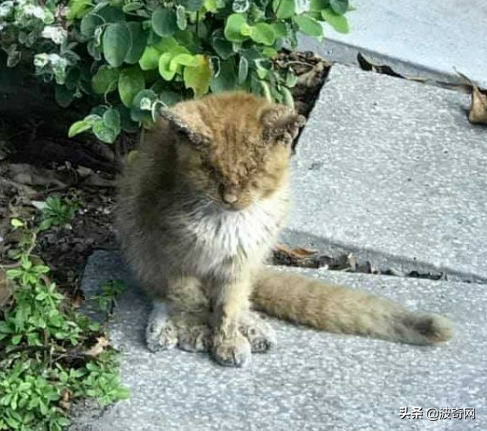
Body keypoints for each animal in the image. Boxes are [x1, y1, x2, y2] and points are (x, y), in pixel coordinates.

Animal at [115, 91, 454, 368]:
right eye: (210, 171)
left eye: (252, 171)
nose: (230, 198)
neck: (228, 223)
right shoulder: (170, 254)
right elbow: (188, 300)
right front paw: (197, 328)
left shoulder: (239, 262)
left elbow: (229, 306)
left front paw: (227, 339)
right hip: (137, 242)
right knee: (159, 294)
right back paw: (166, 327)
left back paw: (252, 327)